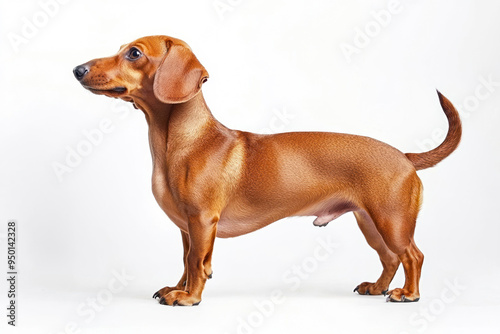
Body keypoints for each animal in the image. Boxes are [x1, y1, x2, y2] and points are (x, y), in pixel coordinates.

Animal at [73, 34, 460, 306]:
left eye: (134, 53)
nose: (77, 69)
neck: (180, 142)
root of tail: (405, 156)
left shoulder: (201, 221)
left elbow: (197, 262)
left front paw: (189, 297)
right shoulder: (186, 226)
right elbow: (185, 261)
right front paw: (176, 288)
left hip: (391, 220)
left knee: (413, 256)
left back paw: (408, 294)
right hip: (370, 222)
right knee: (391, 259)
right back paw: (378, 287)